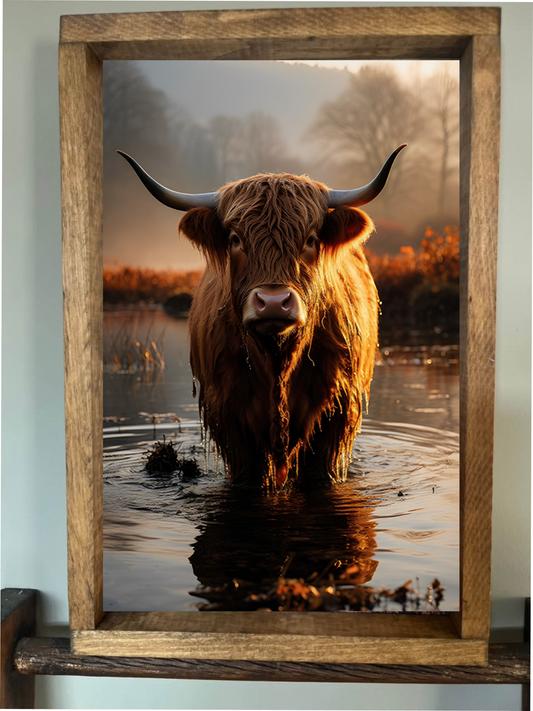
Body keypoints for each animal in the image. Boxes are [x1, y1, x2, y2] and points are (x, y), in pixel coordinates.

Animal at [118, 145, 406, 490]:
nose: (273, 303)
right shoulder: (229, 414)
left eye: (310, 239)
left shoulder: (336, 407)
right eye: (235, 239)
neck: (277, 358)